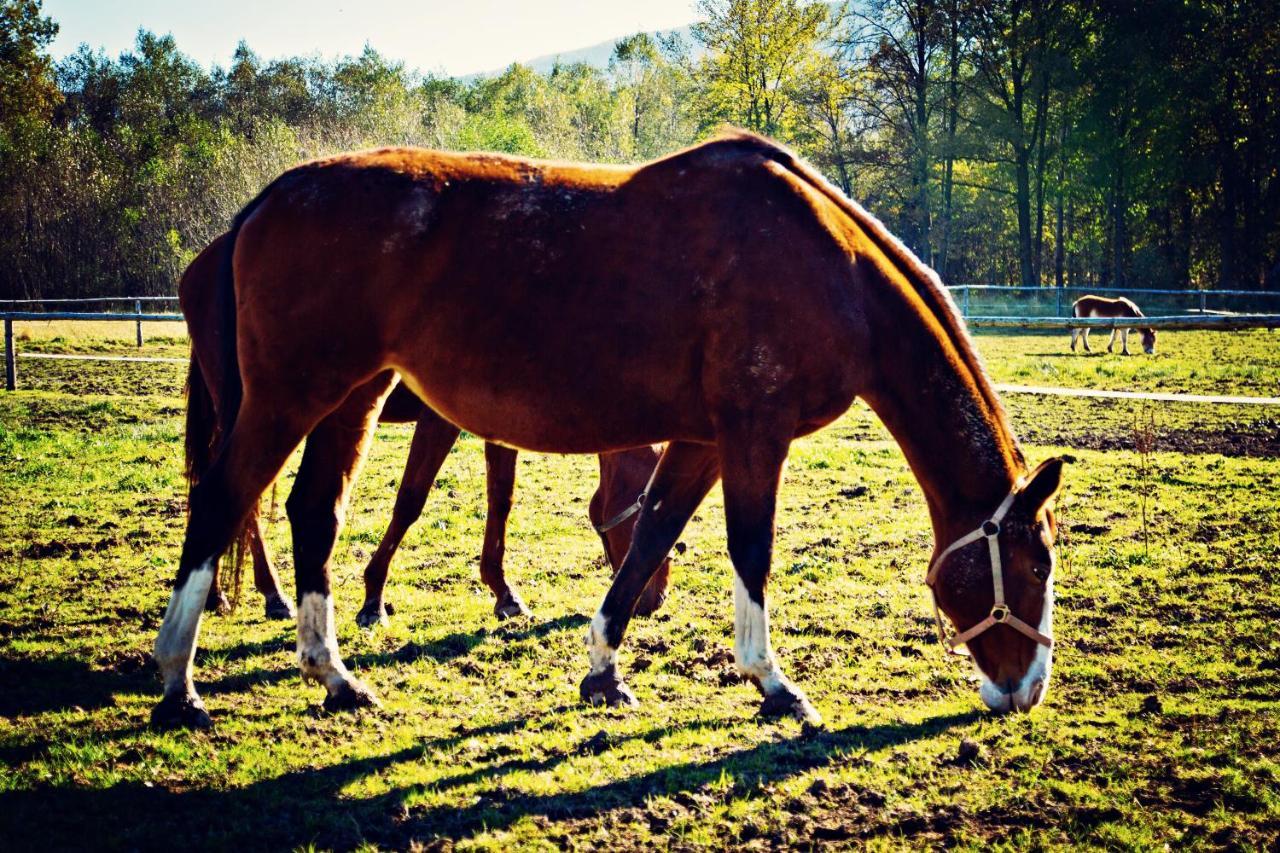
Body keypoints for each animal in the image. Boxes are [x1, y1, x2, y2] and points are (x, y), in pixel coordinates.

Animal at [180, 233, 670, 625]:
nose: (655, 598)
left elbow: (501, 500)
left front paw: (504, 592)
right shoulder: (440, 422)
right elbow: (410, 501)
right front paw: (373, 597)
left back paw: (222, 593)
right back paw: (270, 593)